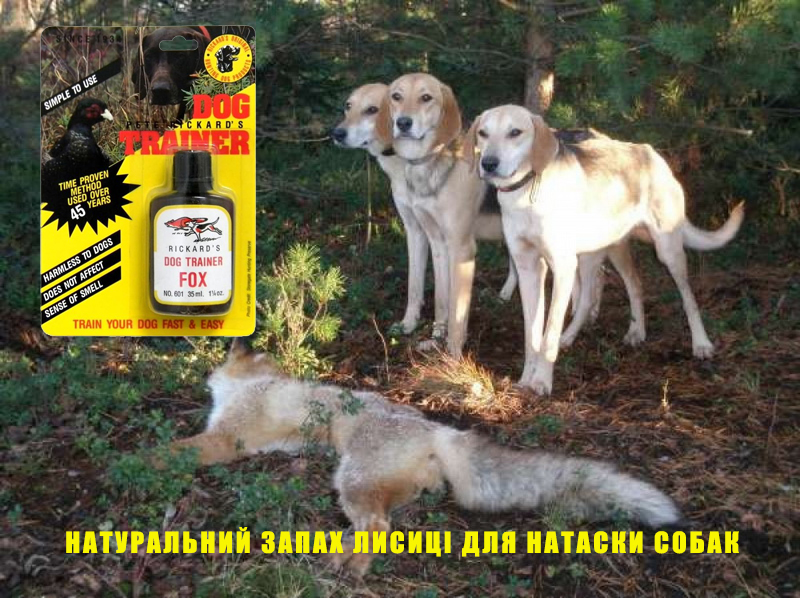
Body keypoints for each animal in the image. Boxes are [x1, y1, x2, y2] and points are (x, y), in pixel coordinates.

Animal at [167, 340, 681, 576]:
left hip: (351, 481)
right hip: (366, 487)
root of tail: (439, 429)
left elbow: (167, 453)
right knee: (378, 525)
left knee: (378, 528)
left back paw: (351, 568)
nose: (208, 375)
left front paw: (146, 463)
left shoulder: (224, 440)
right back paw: (341, 555)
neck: (255, 385)